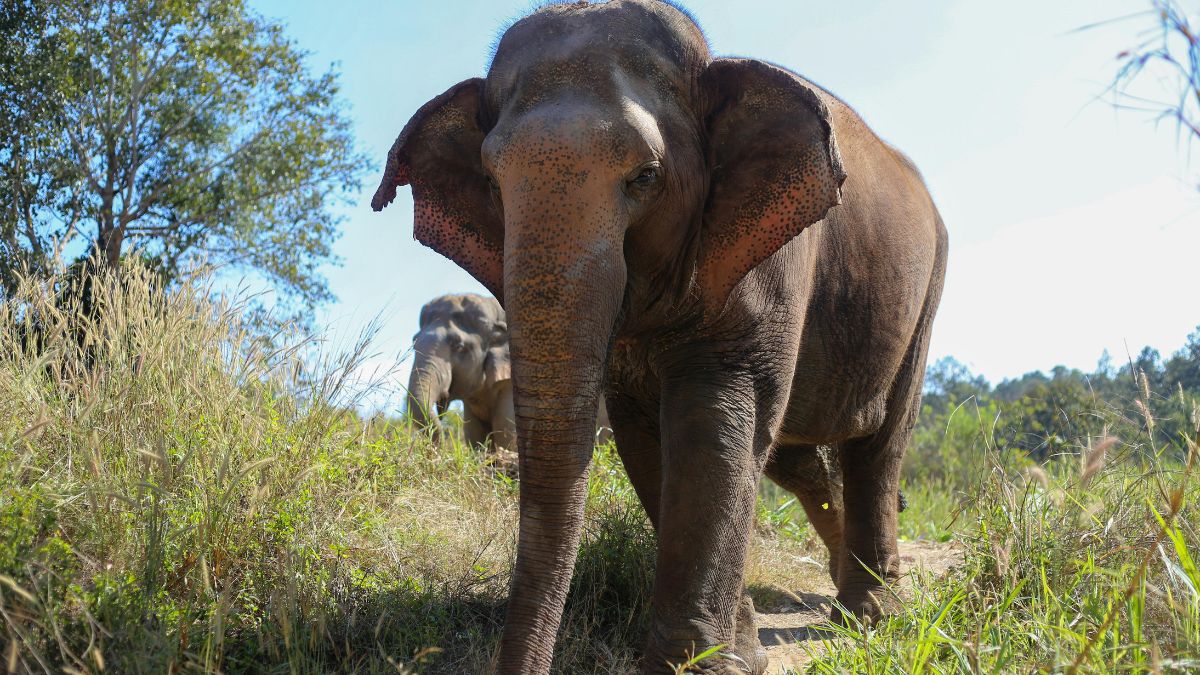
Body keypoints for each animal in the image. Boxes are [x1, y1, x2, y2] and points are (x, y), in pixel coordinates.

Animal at [372, 1, 947, 672]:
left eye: (646, 176)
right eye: (491, 181)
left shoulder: (772, 257)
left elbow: (712, 425)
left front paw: (700, 664)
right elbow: (646, 437)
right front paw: (738, 651)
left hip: (925, 292)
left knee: (878, 446)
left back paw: (869, 615)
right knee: (800, 459)